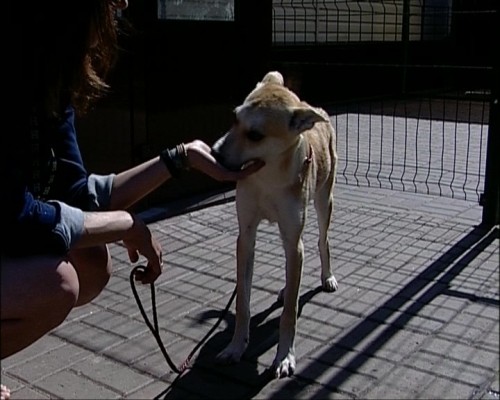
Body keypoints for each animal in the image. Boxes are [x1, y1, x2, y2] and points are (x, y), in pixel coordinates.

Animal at [209, 69, 338, 378]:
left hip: (324, 201)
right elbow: (243, 301)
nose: (214, 153)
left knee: (322, 241)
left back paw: (326, 277)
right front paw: (235, 347)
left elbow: (290, 312)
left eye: (256, 135)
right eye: (234, 118)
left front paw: (284, 356)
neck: (268, 177)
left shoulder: (293, 241)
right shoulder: (246, 237)